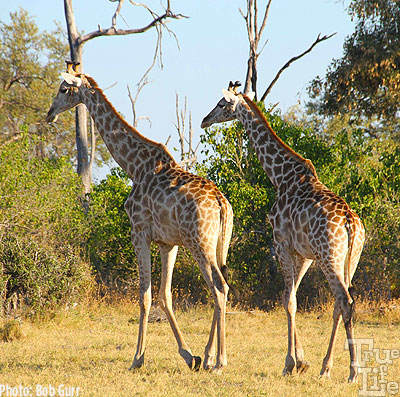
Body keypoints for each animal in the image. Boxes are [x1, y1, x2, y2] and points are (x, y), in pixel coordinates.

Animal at [46, 62, 234, 372]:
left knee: (218, 288)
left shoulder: (139, 233)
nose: (49, 114)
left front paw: (137, 359)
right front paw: (189, 355)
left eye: (63, 89)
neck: (134, 165)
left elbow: (144, 296)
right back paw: (208, 356)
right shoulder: (168, 243)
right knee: (222, 286)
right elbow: (165, 295)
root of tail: (221, 204)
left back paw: (219, 361)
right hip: (219, 244)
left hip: (200, 243)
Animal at [202, 80, 364, 380]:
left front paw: (290, 363)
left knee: (345, 301)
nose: (205, 120)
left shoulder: (281, 244)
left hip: (330, 257)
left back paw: (352, 371)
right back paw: (326, 367)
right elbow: (292, 297)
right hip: (350, 259)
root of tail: (350, 223)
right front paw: (302, 361)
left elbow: (288, 300)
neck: (280, 176)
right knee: (340, 303)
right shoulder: (304, 254)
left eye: (221, 103)